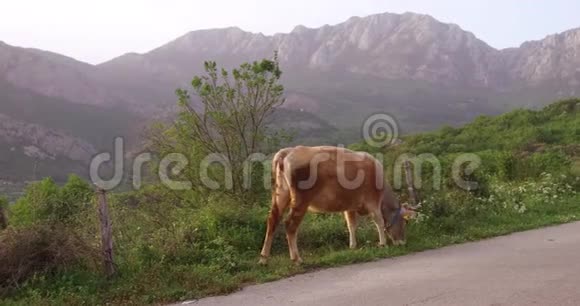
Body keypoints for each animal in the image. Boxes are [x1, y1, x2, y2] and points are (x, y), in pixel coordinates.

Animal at [260, 145, 416, 264]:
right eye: (405, 222)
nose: (403, 242)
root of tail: (287, 151)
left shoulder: (350, 206)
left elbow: (351, 225)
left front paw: (352, 246)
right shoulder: (373, 203)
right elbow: (379, 222)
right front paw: (383, 244)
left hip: (280, 195)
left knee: (272, 221)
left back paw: (264, 259)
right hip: (300, 200)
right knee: (290, 225)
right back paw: (296, 258)